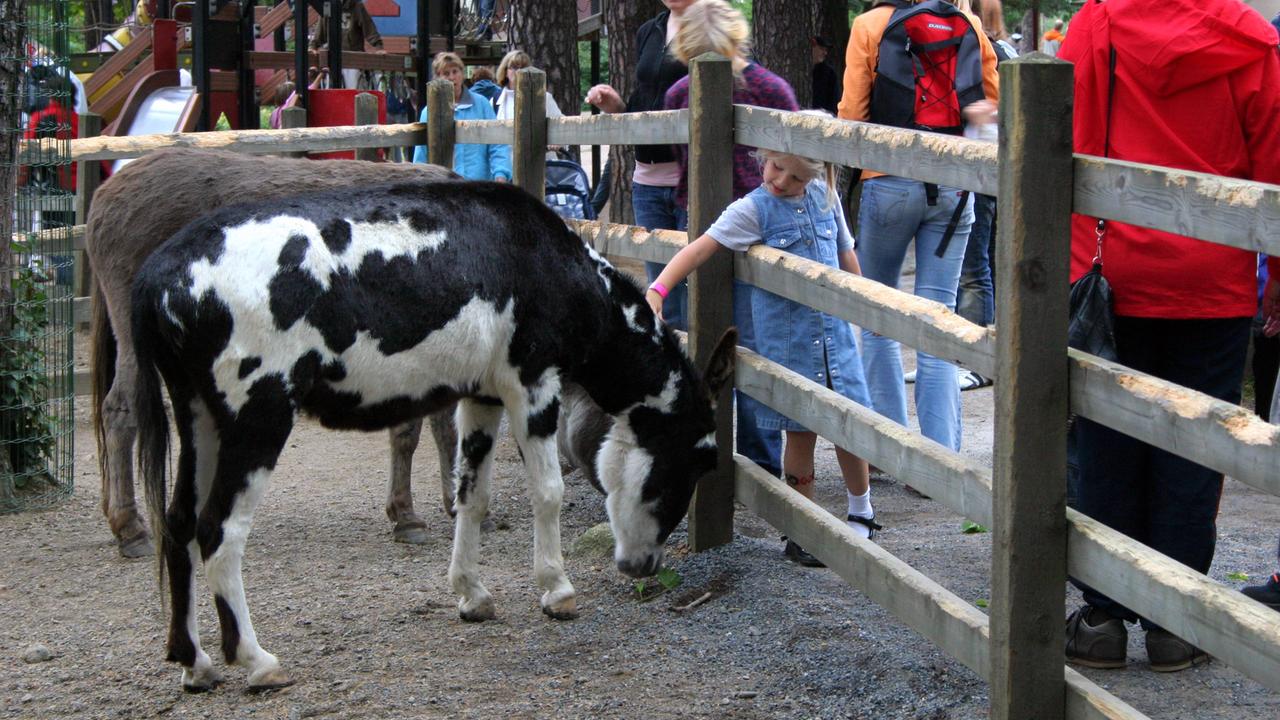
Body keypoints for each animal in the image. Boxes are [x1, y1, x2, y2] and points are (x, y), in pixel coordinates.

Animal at [88, 148, 460, 557]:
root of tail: (108, 189)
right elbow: (419, 428)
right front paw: (418, 514)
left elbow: (437, 426)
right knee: (120, 411)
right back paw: (131, 528)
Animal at [132, 179, 735, 692]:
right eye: (699, 461)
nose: (644, 567)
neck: (549, 264)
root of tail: (157, 275)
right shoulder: (531, 385)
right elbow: (548, 493)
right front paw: (556, 590)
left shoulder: (482, 396)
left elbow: (471, 495)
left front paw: (472, 594)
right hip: (256, 417)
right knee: (219, 533)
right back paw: (256, 661)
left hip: (201, 418)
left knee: (179, 523)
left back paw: (195, 662)